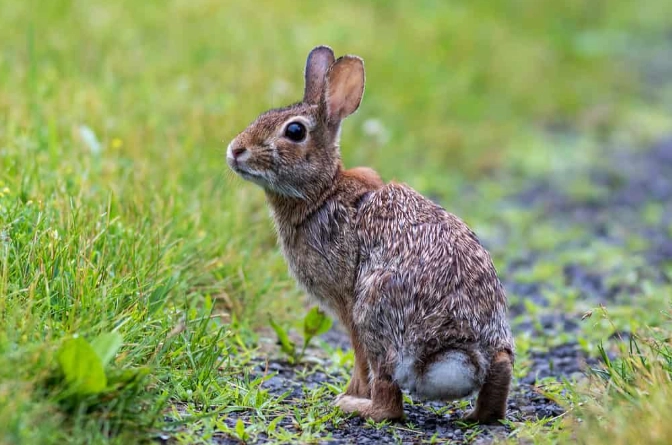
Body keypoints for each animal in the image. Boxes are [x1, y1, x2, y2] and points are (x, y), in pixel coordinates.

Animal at [226, 45, 515, 424]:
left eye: (294, 131)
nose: (235, 150)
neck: (321, 193)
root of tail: (461, 350)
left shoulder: (347, 305)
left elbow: (358, 357)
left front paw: (351, 391)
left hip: (376, 311)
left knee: (388, 401)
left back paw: (353, 405)